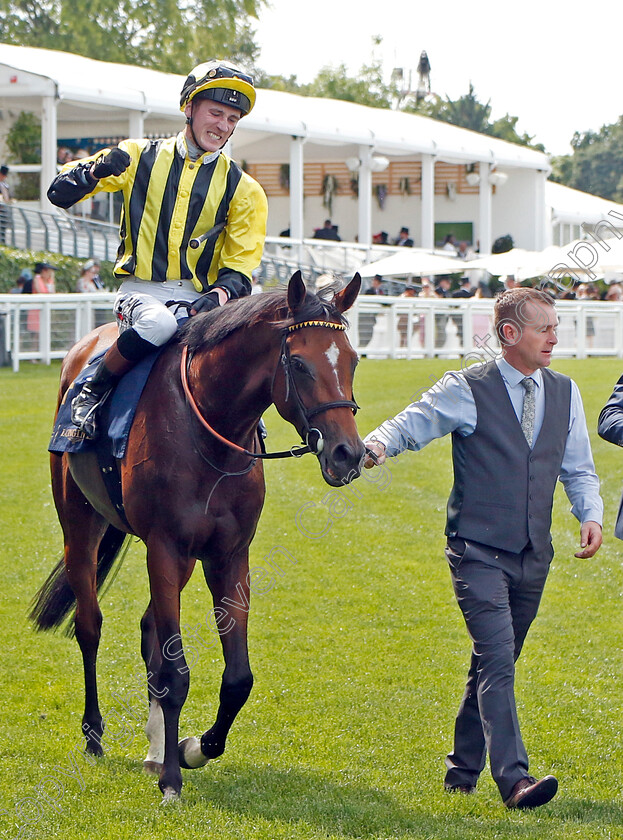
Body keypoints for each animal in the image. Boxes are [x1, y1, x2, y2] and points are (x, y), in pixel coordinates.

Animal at [33, 272, 366, 804]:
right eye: (297, 362)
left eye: (352, 359)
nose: (346, 454)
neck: (210, 433)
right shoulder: (165, 548)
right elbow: (176, 672)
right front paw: (172, 779)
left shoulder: (229, 555)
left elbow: (237, 678)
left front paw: (190, 749)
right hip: (79, 527)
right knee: (90, 626)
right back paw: (94, 735)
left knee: (150, 631)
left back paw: (155, 747)